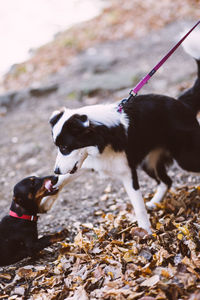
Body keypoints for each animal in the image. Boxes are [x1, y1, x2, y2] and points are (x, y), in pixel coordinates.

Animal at [49, 30, 199, 233]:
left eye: (65, 147)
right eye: (58, 147)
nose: (55, 170)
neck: (102, 140)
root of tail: (183, 103)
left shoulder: (128, 174)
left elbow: (138, 207)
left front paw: (146, 233)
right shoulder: (88, 163)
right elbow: (64, 177)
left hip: (185, 158)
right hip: (148, 161)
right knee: (166, 181)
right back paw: (155, 202)